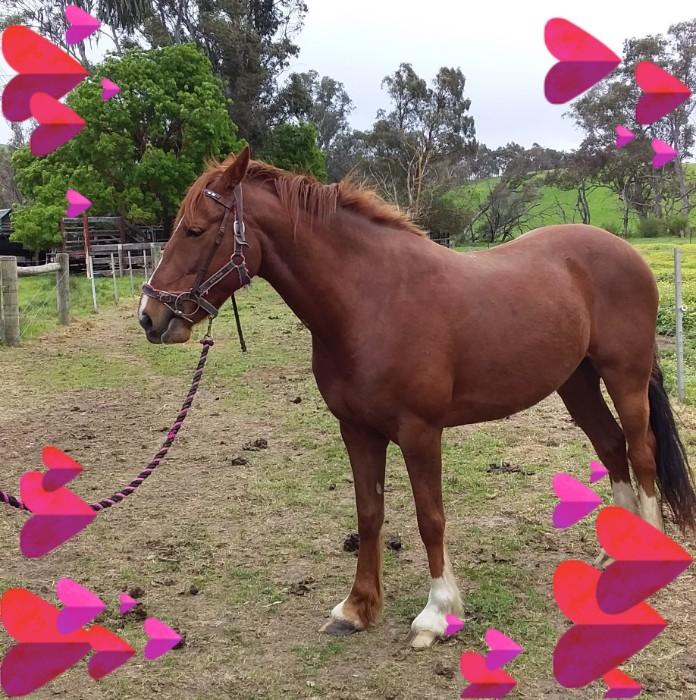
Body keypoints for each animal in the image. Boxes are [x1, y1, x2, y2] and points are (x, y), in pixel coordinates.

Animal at [138, 146, 696, 649]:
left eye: (195, 230)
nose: (150, 316)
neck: (371, 301)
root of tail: (625, 252)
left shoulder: (420, 431)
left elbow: (431, 518)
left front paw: (437, 614)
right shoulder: (356, 429)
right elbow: (369, 513)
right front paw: (357, 608)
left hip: (624, 376)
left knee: (641, 451)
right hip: (575, 381)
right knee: (611, 446)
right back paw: (614, 552)